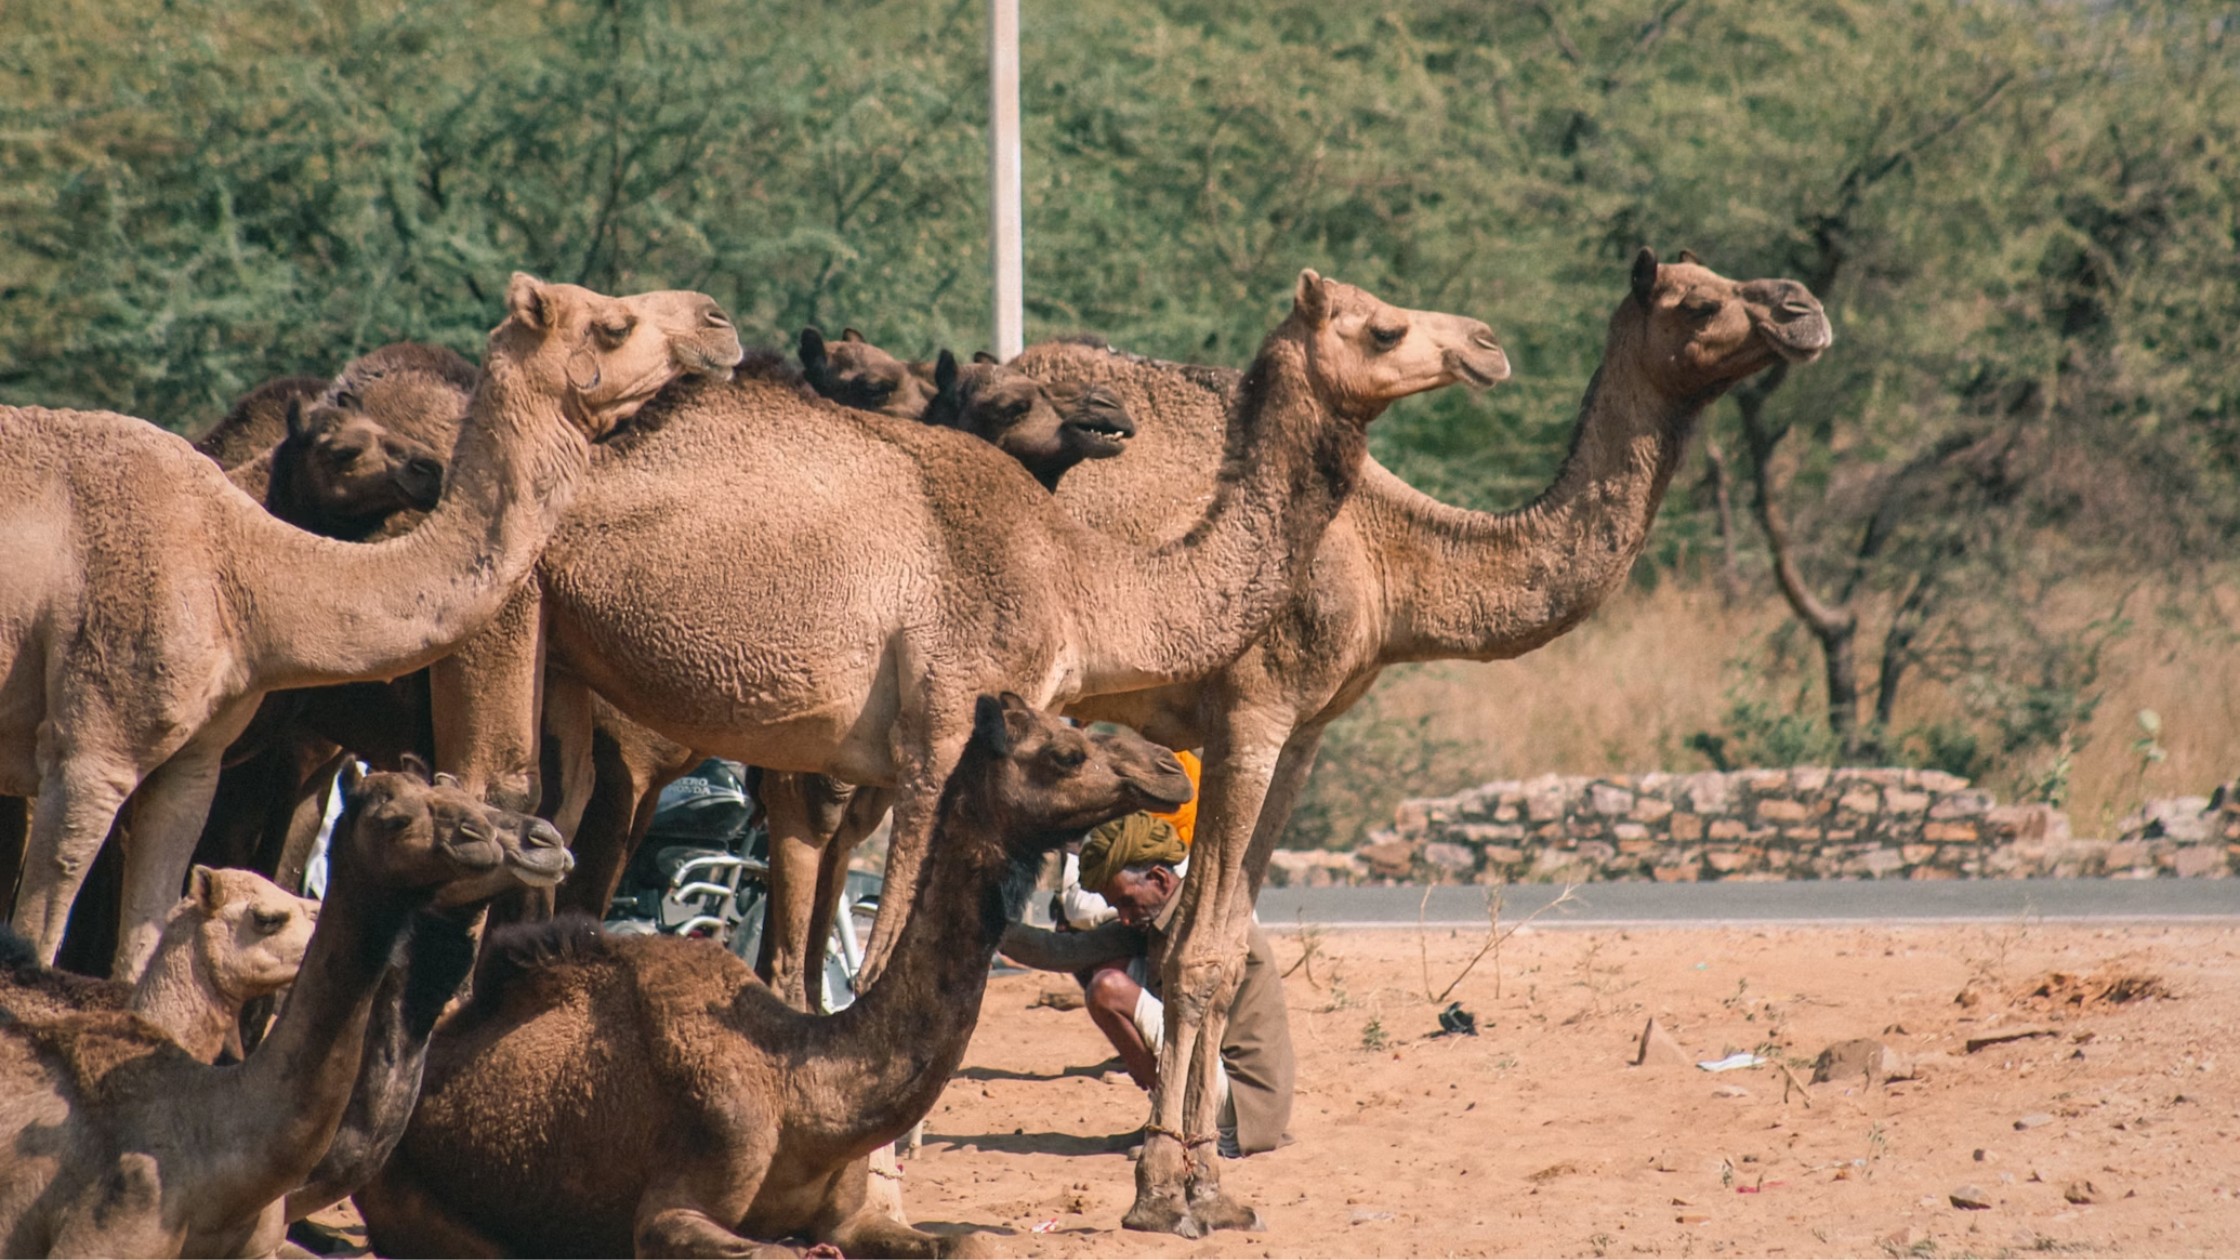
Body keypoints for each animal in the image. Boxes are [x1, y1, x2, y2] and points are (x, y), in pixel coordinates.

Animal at [0, 272, 743, 973]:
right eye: (615, 324)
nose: (719, 320)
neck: (244, 569)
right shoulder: (92, 751)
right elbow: (39, 937)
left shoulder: (192, 767)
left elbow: (138, 956)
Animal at [353, 690, 1191, 1246]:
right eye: (1065, 752)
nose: (1170, 771)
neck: (804, 1087)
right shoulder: (678, 1201)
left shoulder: (848, 1215)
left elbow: (974, 1241)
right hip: (400, 1191)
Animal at [421, 272, 1505, 1008]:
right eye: (1384, 325)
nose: (1490, 344)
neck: (1079, 575)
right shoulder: (938, 733)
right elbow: (884, 956)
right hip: (502, 615)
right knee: (494, 803)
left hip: (565, 671)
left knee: (550, 826)